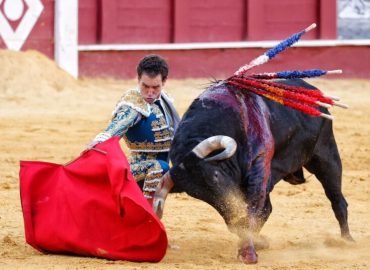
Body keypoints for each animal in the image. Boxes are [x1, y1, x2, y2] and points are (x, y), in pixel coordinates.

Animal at [152, 78, 352, 264]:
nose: (236, 215)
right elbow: (253, 213)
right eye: (198, 195)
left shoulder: (259, 165)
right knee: (268, 208)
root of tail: (312, 89)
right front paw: (250, 244)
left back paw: (346, 240)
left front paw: (248, 252)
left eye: (216, 176)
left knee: (337, 199)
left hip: (326, 154)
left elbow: (254, 207)